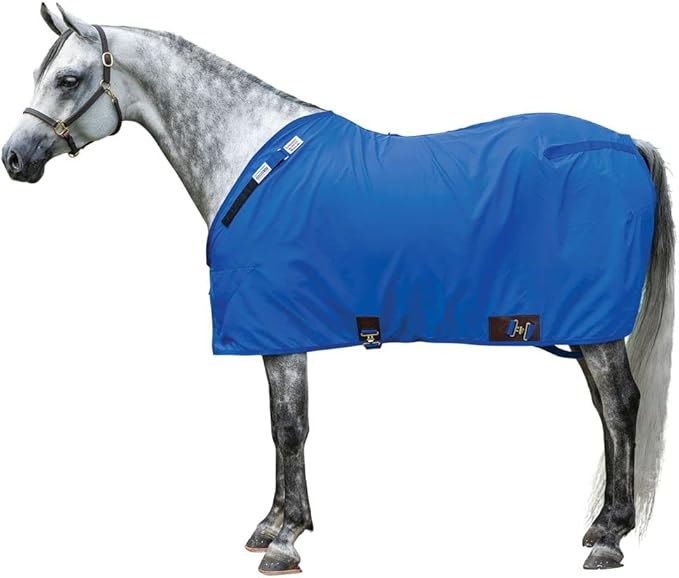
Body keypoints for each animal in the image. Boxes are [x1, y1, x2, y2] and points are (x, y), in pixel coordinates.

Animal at [2, 4, 673, 574]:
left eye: (67, 79)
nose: (14, 158)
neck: (253, 165)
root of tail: (624, 142)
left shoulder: (281, 329)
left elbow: (289, 427)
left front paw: (286, 538)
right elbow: (279, 427)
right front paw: (273, 523)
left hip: (594, 328)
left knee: (621, 406)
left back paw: (610, 537)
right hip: (583, 328)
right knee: (607, 410)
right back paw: (602, 526)